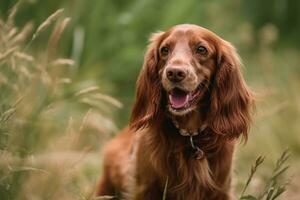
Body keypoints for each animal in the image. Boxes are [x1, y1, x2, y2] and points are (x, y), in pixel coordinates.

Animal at [95, 24, 253, 199]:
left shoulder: (221, 190)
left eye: (201, 49)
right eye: (164, 50)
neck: (190, 135)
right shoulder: (145, 188)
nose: (175, 73)